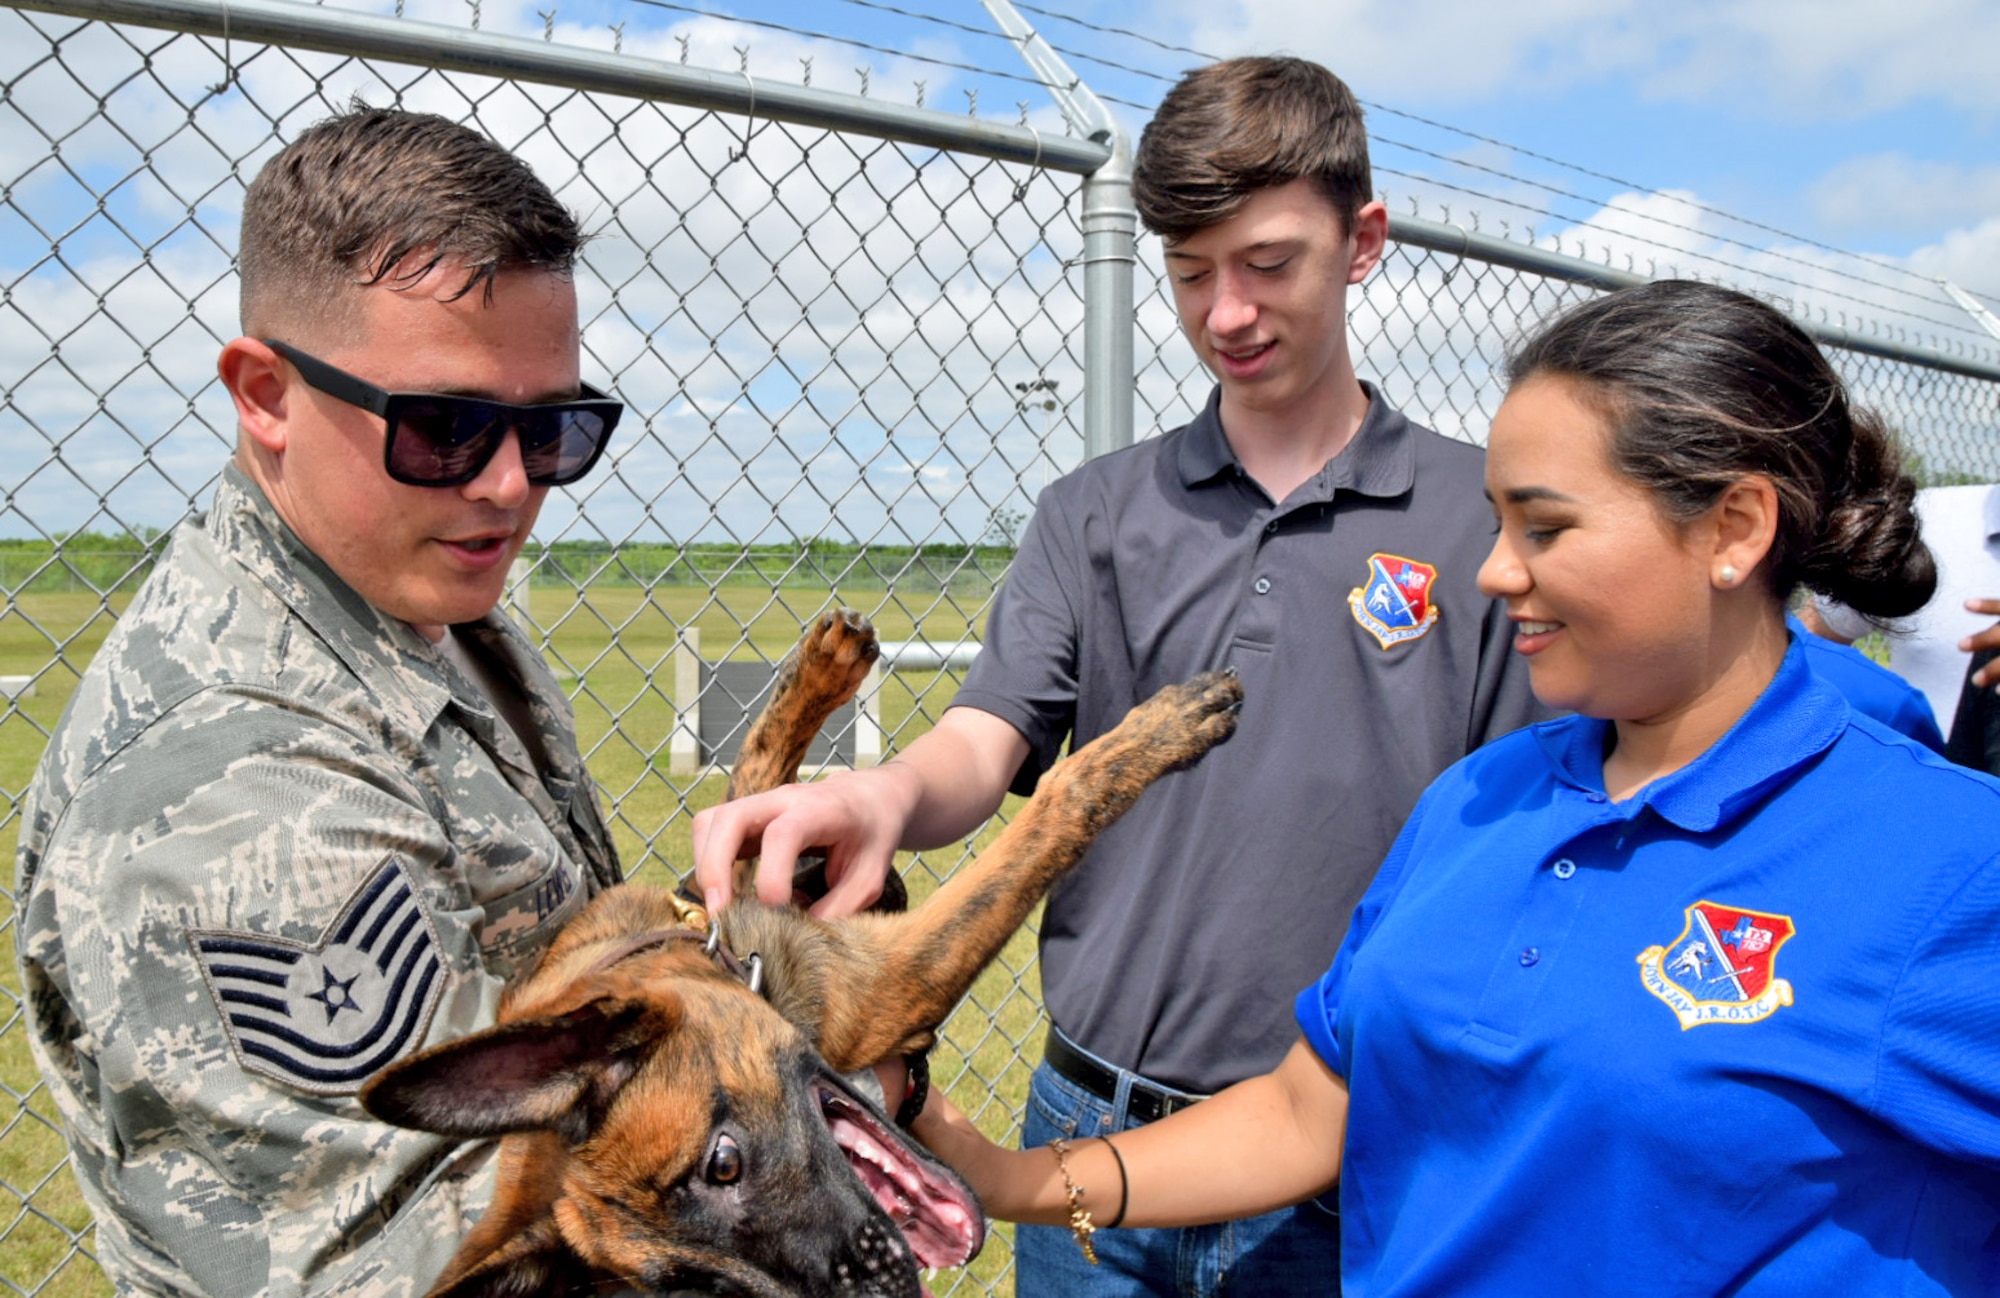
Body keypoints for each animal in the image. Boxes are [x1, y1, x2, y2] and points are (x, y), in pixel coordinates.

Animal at [360, 612, 1232, 1296]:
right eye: (699, 1287)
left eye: (723, 1164)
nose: (883, 1289)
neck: (721, 955)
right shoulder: (890, 976)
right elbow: (1054, 810)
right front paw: (1157, 733)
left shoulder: (736, 877)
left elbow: (754, 782)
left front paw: (820, 673)